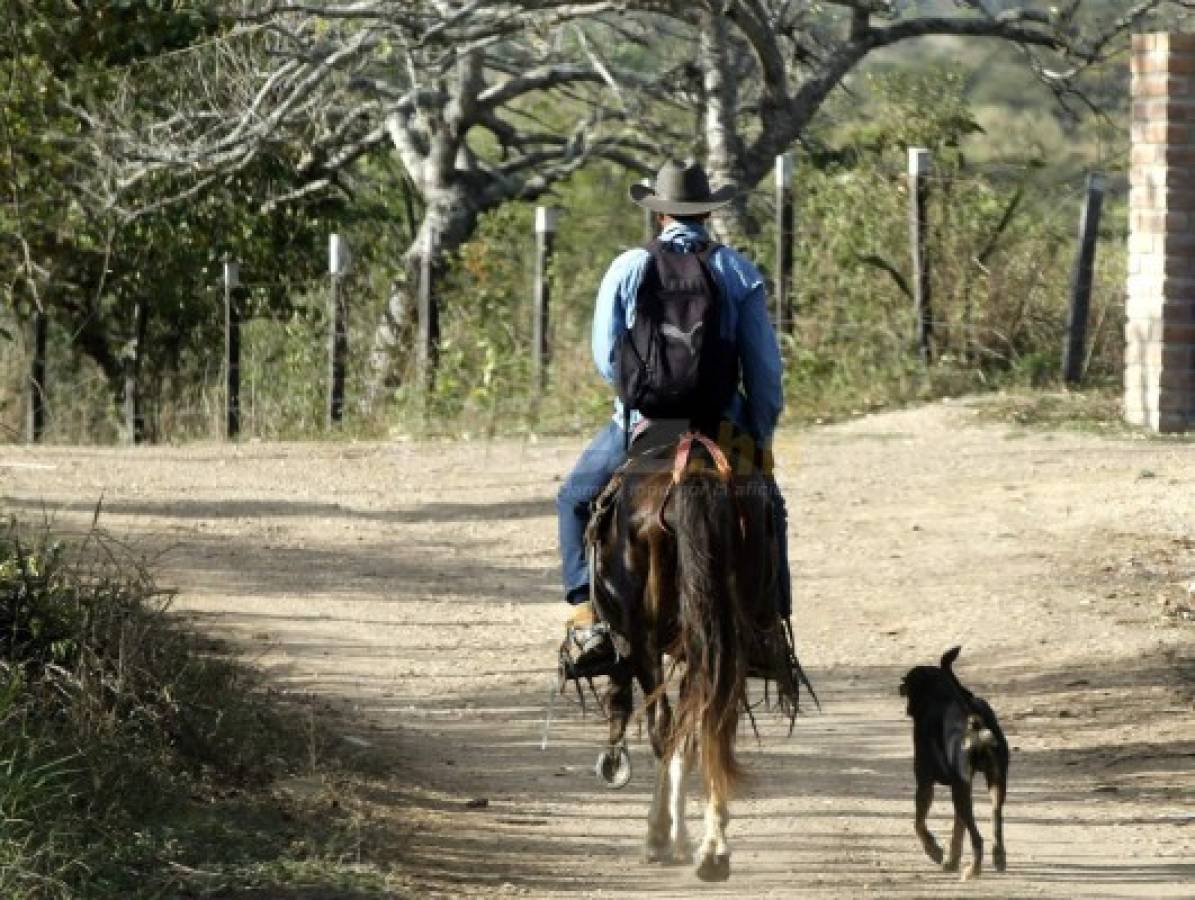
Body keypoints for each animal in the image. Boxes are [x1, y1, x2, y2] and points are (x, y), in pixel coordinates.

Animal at [583, 425, 798, 879]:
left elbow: (670, 730)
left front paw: (667, 836)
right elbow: (694, 730)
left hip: (646, 642)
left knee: (664, 725)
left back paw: (662, 836)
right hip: (724, 637)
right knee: (716, 721)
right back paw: (714, 850)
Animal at [898, 645, 1003, 879]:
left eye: (907, 682)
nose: (899, 685)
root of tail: (973, 717)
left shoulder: (925, 784)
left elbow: (918, 823)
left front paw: (934, 851)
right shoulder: (961, 784)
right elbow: (958, 829)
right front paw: (952, 860)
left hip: (960, 792)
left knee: (977, 838)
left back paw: (973, 869)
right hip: (995, 785)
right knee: (996, 821)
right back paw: (999, 858)